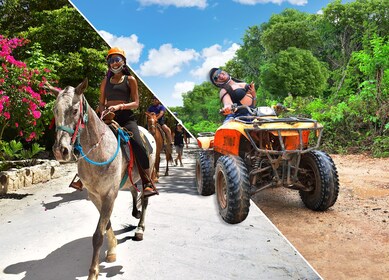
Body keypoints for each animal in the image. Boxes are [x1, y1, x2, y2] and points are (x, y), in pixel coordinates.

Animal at [49, 79, 155, 280]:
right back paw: (135, 213)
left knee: (145, 198)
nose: (61, 151)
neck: (99, 150)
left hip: (149, 172)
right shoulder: (95, 195)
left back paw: (140, 228)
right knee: (133, 190)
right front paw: (112, 249)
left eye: (75, 110)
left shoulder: (109, 194)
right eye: (55, 110)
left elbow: (98, 234)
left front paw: (93, 272)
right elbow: (106, 225)